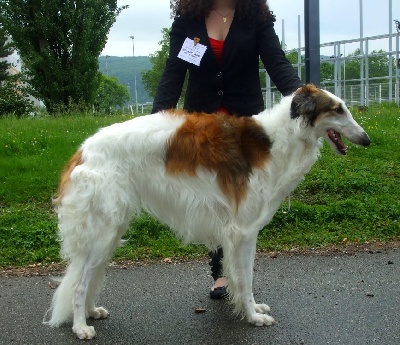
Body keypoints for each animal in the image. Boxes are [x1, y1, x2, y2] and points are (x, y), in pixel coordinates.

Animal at [42, 84, 370, 338]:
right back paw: (80, 327)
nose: (366, 139)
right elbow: (245, 278)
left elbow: (244, 276)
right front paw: (253, 316)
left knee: (88, 276)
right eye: (337, 109)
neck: (276, 140)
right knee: (80, 283)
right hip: (102, 231)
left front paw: (252, 308)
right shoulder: (243, 230)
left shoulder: (246, 231)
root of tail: (82, 151)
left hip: (110, 230)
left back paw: (91, 312)